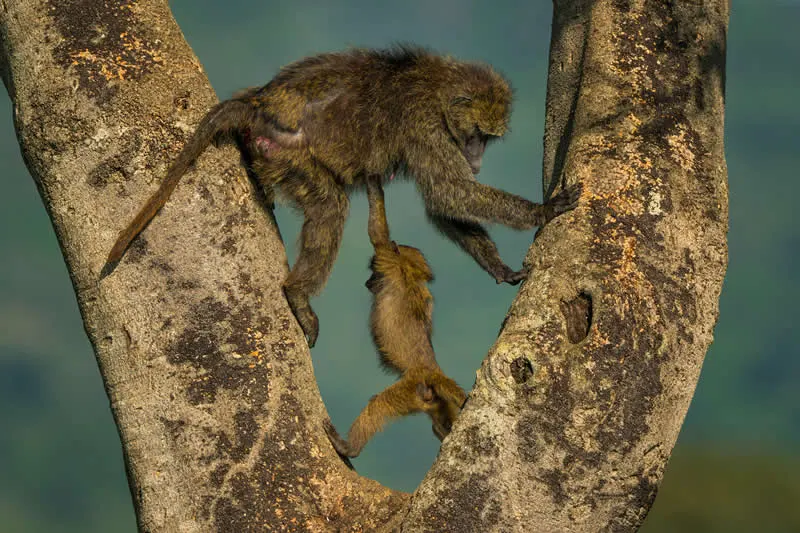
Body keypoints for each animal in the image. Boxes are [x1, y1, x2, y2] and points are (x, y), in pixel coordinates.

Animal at [102, 45, 582, 347]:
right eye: (478, 135)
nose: (477, 158)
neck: (438, 85)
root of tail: (259, 102)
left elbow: (444, 207)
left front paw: (499, 268)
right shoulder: (424, 125)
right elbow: (449, 194)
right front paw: (545, 210)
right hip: (287, 153)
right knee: (331, 207)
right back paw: (297, 294)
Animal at [323, 179, 467, 458]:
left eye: (373, 272)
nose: (367, 282)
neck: (410, 276)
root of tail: (432, 371)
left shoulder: (388, 260)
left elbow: (378, 233)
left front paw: (373, 180)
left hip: (411, 387)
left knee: (378, 405)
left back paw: (348, 447)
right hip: (430, 399)